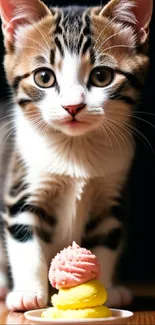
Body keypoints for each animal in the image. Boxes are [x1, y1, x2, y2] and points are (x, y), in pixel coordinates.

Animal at [0, 0, 153, 310]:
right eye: (44, 77)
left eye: (102, 76)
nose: (72, 106)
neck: (76, 149)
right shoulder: (22, 187)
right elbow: (25, 242)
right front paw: (28, 293)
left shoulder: (111, 197)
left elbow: (105, 243)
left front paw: (105, 290)